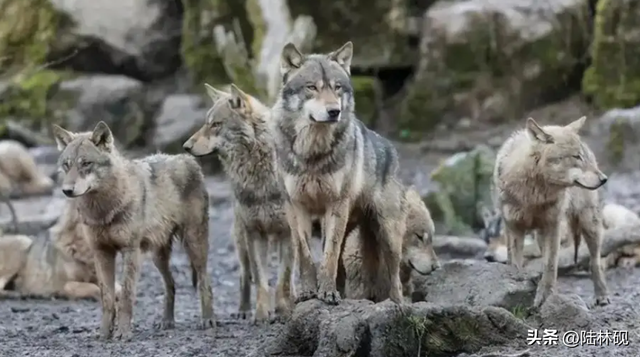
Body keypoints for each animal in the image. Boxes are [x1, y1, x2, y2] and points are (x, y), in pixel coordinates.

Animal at [50, 121, 215, 340]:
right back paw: (167, 322)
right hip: (158, 257)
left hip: (194, 246)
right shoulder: (101, 253)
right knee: (171, 285)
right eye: (67, 165)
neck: (104, 209)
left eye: (86, 164)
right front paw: (104, 333)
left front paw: (123, 332)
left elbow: (126, 295)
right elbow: (107, 297)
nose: (67, 190)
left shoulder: (131, 251)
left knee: (205, 281)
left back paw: (208, 320)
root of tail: (187, 159)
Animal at [181, 83, 294, 322]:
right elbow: (260, 280)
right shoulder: (254, 232)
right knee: (244, 274)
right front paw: (260, 314)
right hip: (242, 240)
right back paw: (243, 310)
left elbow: (284, 279)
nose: (185, 146)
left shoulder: (288, 232)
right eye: (206, 123)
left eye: (216, 125)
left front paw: (283, 310)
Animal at [272, 41, 408, 304]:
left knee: (395, 278)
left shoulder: (335, 205)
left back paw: (398, 305)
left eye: (337, 88)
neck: (312, 154)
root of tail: (391, 148)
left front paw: (326, 292)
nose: (334, 111)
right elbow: (305, 255)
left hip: (387, 234)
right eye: (312, 87)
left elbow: (329, 255)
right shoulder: (296, 206)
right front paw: (308, 292)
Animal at [496, 116, 608, 306]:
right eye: (576, 157)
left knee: (595, 261)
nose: (604, 179)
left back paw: (602, 295)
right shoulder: (515, 227)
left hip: (589, 224)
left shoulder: (552, 226)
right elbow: (516, 262)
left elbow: (550, 264)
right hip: (535, 234)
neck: (534, 196)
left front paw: (546, 294)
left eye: (582, 156)